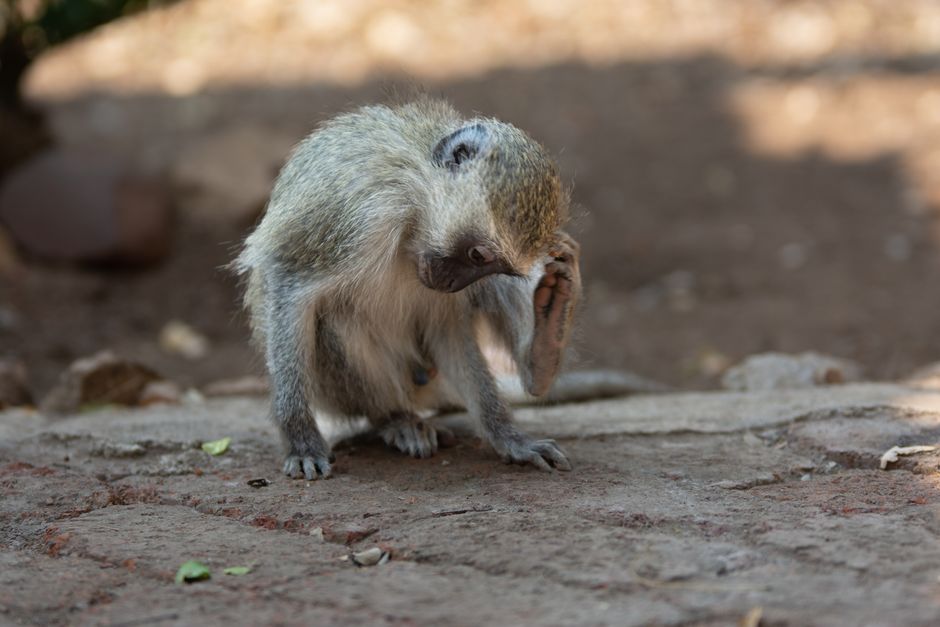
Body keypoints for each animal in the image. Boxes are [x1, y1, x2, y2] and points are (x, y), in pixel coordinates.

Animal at [235, 98, 581, 480]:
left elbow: (449, 331)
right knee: (338, 322)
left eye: (494, 265)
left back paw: (545, 348)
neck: (415, 206)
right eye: (478, 255)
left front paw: (508, 436)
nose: (452, 284)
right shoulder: (355, 213)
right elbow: (288, 280)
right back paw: (396, 418)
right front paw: (301, 440)